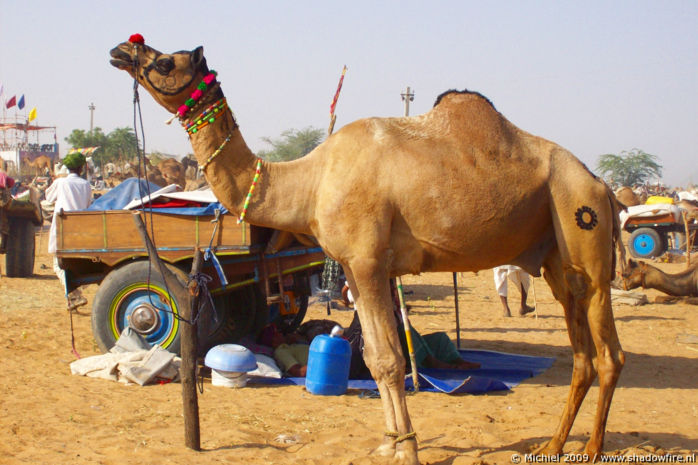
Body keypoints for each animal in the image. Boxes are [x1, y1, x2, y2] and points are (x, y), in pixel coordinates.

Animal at [110, 37, 624, 464]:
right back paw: (553, 445)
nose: (121, 49)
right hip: (556, 260)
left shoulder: (369, 260)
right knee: (581, 352)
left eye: (165, 60)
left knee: (609, 354)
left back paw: (593, 450)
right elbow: (376, 358)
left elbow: (393, 359)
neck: (310, 181)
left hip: (584, 229)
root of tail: (602, 184)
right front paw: (390, 442)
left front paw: (409, 450)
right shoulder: (353, 269)